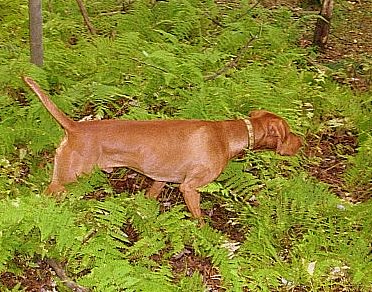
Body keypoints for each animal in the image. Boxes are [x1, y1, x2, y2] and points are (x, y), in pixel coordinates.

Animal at [22, 76, 302, 218]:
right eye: (288, 133)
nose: (301, 142)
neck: (226, 135)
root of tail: (75, 127)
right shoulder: (189, 187)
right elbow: (200, 220)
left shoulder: (161, 179)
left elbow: (149, 199)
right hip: (65, 180)